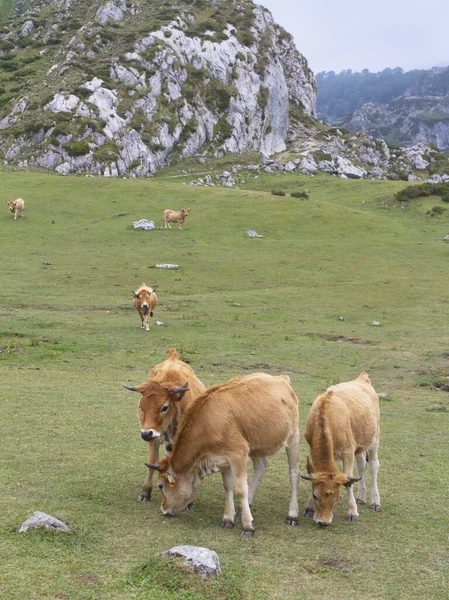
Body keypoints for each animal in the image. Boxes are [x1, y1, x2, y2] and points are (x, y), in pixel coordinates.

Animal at [123, 346, 206, 502]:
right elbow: (152, 461)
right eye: (141, 406)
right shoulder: (154, 439)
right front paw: (145, 492)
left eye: (164, 407)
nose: (146, 433)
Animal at [147, 372, 300, 536]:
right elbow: (228, 487)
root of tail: (281, 378)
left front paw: (248, 525)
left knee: (294, 474)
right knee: (261, 466)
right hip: (255, 445)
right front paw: (228, 518)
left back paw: (292, 514)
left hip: (293, 437)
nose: (163, 509)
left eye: (160, 486)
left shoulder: (237, 454)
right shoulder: (223, 460)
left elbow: (240, 489)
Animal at [300, 372, 380, 528]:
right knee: (361, 465)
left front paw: (352, 512)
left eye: (337, 498)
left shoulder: (348, 451)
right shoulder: (312, 447)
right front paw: (309, 507)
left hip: (374, 438)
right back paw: (361, 497)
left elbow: (348, 480)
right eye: (315, 496)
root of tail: (362, 378)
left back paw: (375, 501)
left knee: (374, 466)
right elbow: (314, 475)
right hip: (360, 445)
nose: (323, 522)